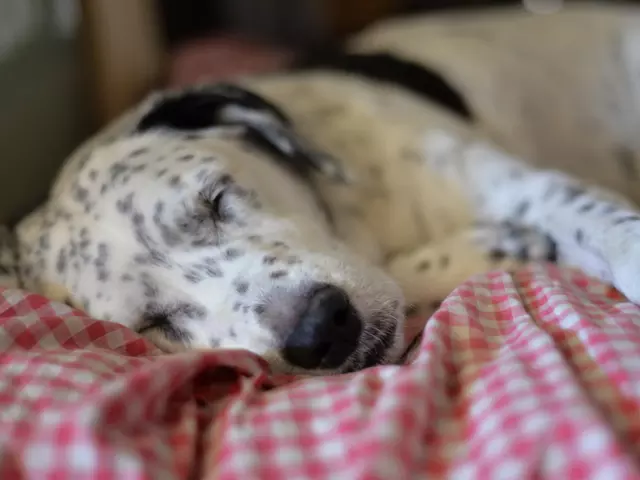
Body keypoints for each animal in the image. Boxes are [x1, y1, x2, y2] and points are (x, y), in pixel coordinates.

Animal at [13, 6, 640, 376]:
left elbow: (606, 226)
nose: (319, 332)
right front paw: (491, 249)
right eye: (152, 323)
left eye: (217, 199)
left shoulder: (526, 186)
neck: (363, 220)